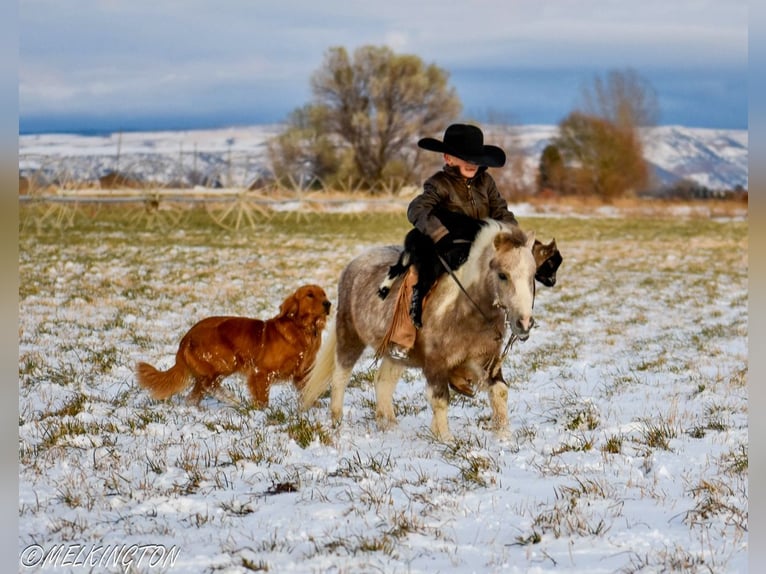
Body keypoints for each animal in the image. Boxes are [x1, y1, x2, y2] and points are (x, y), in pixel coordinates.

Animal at [136, 286, 332, 408]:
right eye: (309, 294)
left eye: (324, 294)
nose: (328, 303)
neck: (302, 330)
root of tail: (185, 338)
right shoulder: (260, 372)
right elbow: (262, 397)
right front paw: (263, 411)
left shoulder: (302, 374)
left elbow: (309, 390)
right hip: (227, 361)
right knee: (209, 385)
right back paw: (232, 399)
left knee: (195, 394)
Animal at [302, 223, 540, 444]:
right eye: (502, 275)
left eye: (533, 275)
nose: (524, 322)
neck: (463, 308)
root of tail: (355, 263)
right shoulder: (436, 363)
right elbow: (440, 399)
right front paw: (445, 438)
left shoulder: (485, 360)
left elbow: (499, 391)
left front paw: (503, 435)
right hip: (349, 334)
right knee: (340, 377)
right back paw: (337, 422)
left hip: (396, 354)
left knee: (383, 381)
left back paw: (389, 426)